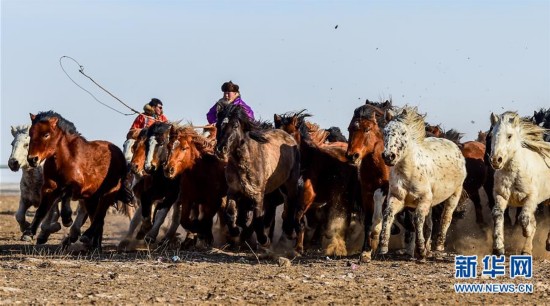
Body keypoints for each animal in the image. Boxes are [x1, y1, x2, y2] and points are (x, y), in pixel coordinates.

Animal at [24, 111, 132, 250]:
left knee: (99, 217)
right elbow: (41, 210)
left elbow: (66, 193)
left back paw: (87, 236)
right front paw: (29, 233)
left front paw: (67, 218)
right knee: (97, 219)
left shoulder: (79, 187)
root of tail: (120, 155)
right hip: (91, 199)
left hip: (108, 194)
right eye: (30, 133)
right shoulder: (48, 189)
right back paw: (95, 245)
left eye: (46, 134)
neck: (64, 160)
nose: (32, 159)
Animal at [380, 107, 466, 260]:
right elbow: (388, 214)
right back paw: (428, 249)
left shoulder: (423, 199)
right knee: (430, 224)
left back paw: (438, 246)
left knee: (446, 217)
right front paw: (383, 248)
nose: (389, 156)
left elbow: (418, 219)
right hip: (432, 203)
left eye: (403, 133)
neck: (409, 172)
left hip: (455, 193)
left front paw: (420, 250)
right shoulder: (397, 198)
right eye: (385, 131)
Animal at [492, 111, 550, 255]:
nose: (496, 160)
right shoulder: (501, 196)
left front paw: (527, 231)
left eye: (509, 136)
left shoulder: (531, 198)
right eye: (492, 135)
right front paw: (498, 248)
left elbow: (524, 218)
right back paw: (527, 250)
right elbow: (497, 214)